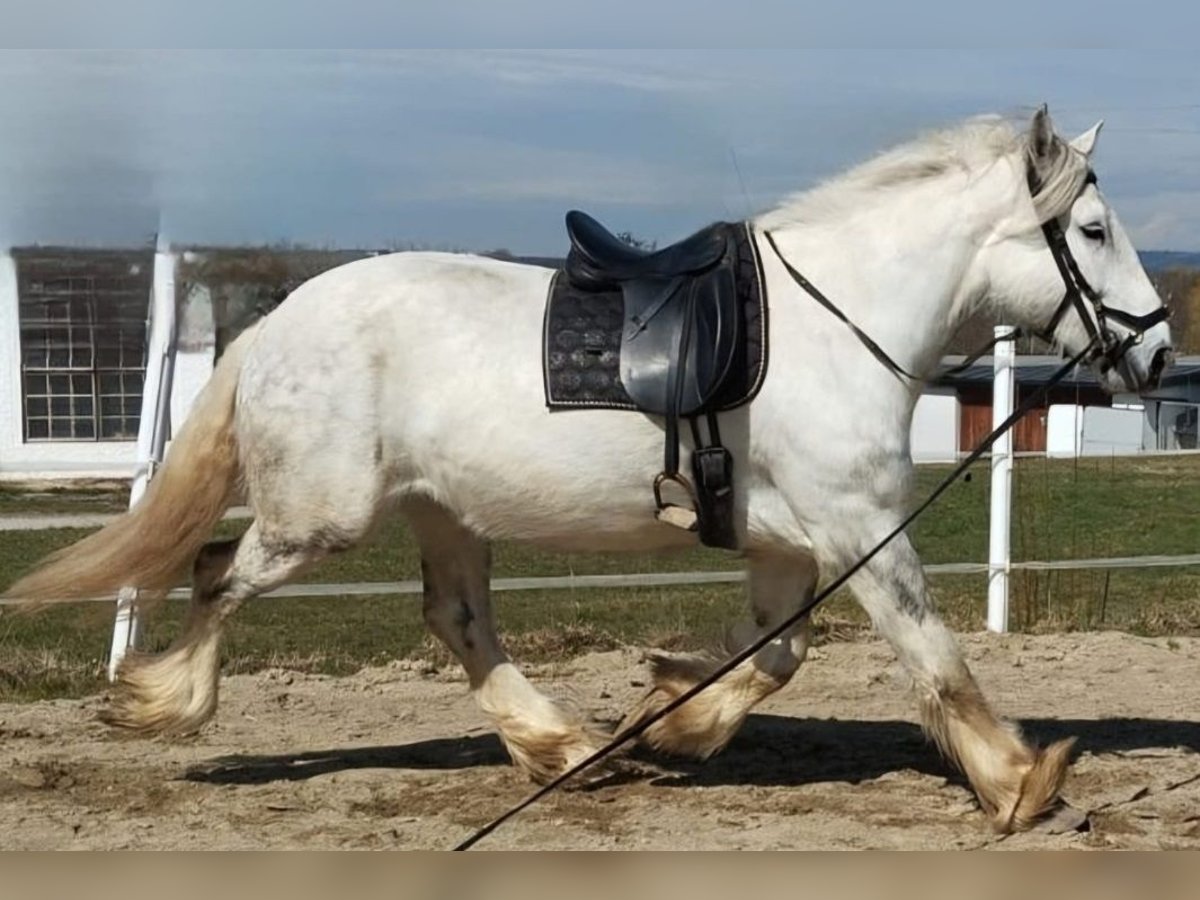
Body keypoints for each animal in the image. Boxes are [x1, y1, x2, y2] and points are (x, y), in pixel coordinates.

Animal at [5, 107, 1173, 833]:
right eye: (1093, 228)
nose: (1158, 353)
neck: (837, 324)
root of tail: (276, 325)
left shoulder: (799, 546)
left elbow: (774, 656)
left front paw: (675, 719)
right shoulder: (861, 530)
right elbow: (936, 661)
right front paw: (1023, 786)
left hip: (440, 513)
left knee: (455, 620)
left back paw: (565, 749)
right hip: (319, 521)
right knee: (219, 577)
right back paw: (162, 703)